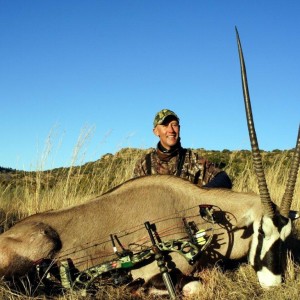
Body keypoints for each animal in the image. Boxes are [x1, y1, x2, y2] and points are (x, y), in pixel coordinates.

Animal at [0, 28, 298, 298]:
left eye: (285, 237)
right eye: (260, 231)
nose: (274, 283)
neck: (197, 214)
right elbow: (193, 285)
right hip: (43, 241)